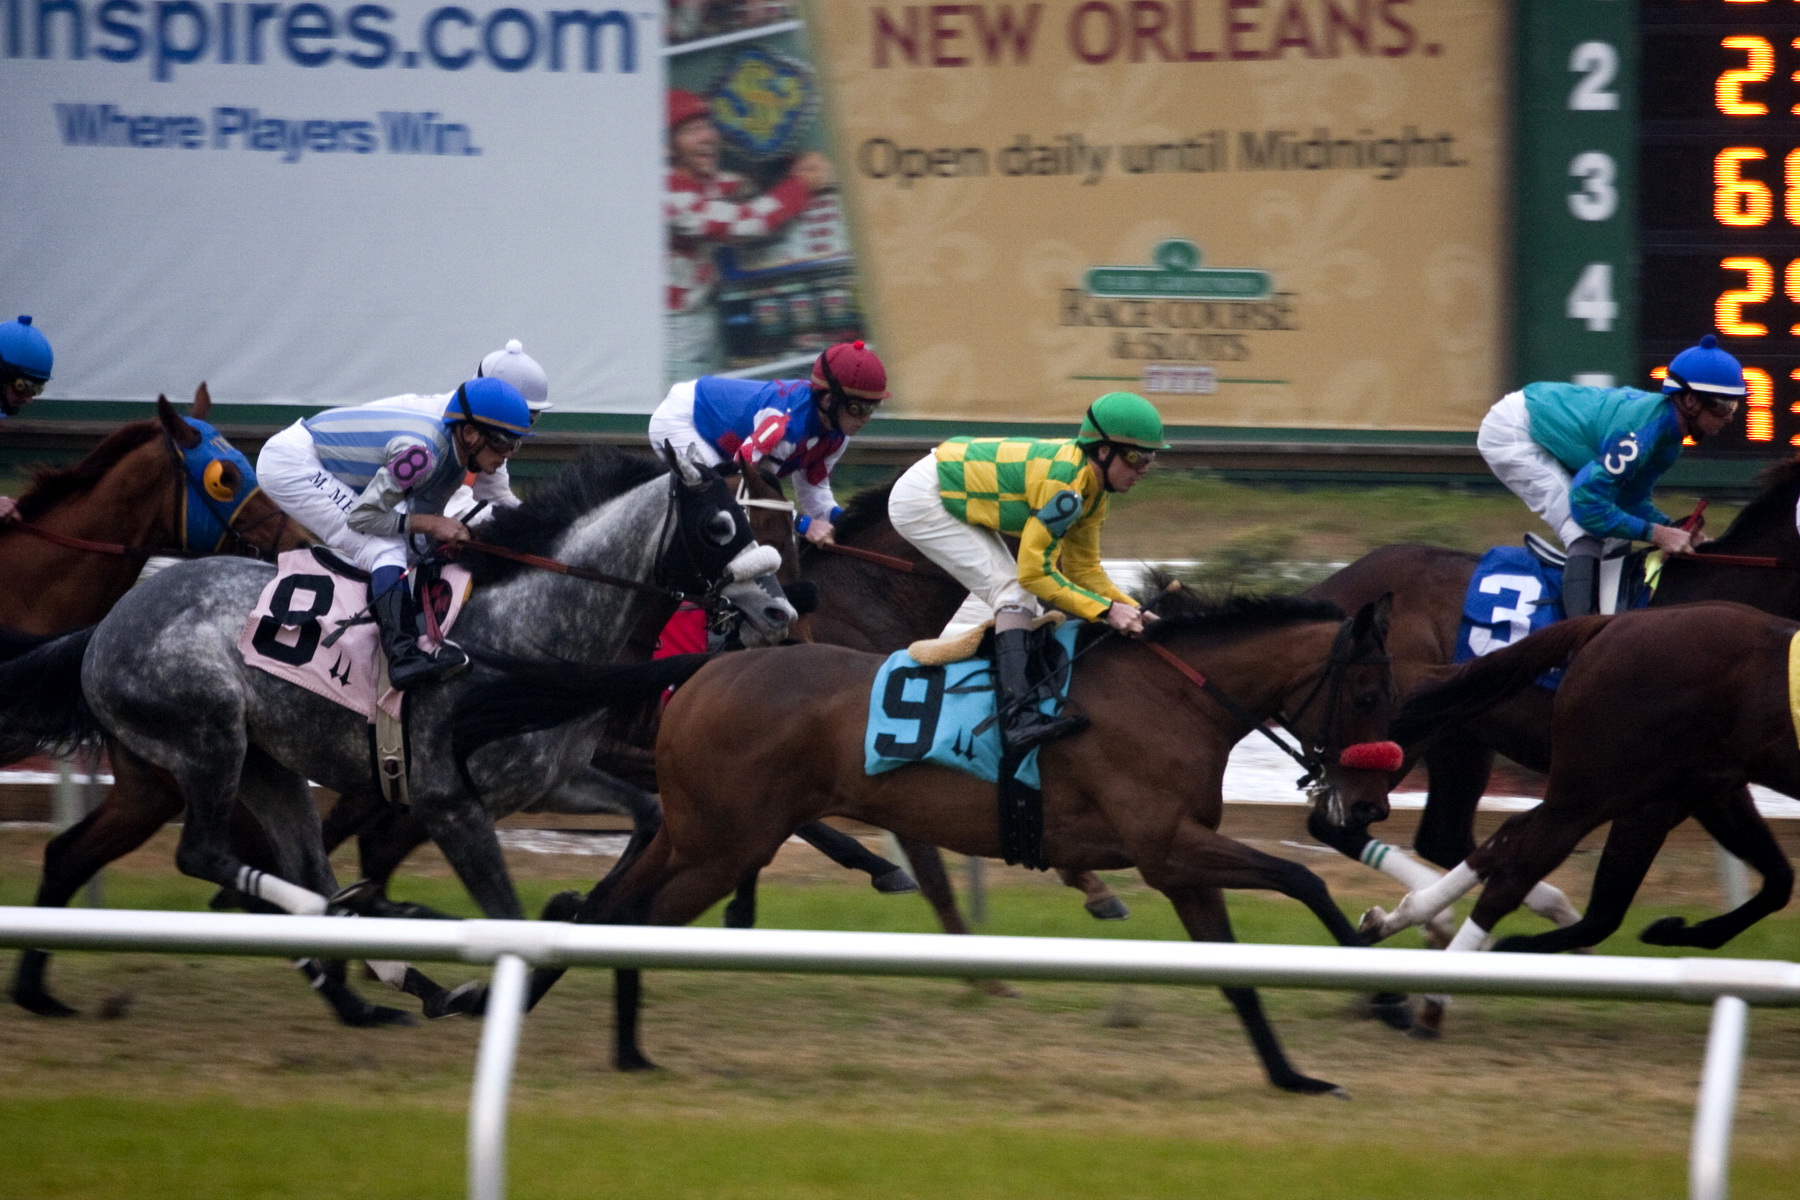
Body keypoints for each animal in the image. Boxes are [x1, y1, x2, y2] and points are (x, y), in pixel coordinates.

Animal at [0, 446, 795, 1024]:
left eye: (748, 518)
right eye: (721, 527)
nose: (782, 610)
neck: (525, 631)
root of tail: (105, 625)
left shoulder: (552, 777)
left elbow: (649, 816)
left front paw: (577, 907)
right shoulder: (448, 802)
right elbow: (506, 914)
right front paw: (489, 982)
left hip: (267, 765)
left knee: (299, 867)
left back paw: (379, 978)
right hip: (206, 738)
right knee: (205, 854)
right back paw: (384, 931)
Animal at [469, 586, 1401, 1094]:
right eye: (1365, 693)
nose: (1365, 807)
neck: (1175, 698)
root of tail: (707, 666)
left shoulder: (1179, 860)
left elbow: (1238, 975)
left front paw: (1293, 1076)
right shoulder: (1170, 846)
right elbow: (1305, 881)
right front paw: (1382, 985)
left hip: (698, 832)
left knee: (606, 909)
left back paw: (570, 1025)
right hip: (724, 845)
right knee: (633, 918)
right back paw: (610, 1040)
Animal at [1365, 604, 1797, 955]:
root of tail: (1612, 622)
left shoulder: (1715, 786)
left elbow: (1781, 880)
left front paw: (1676, 930)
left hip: (1651, 788)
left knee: (1510, 842)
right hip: (1603, 790)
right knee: (1521, 876)